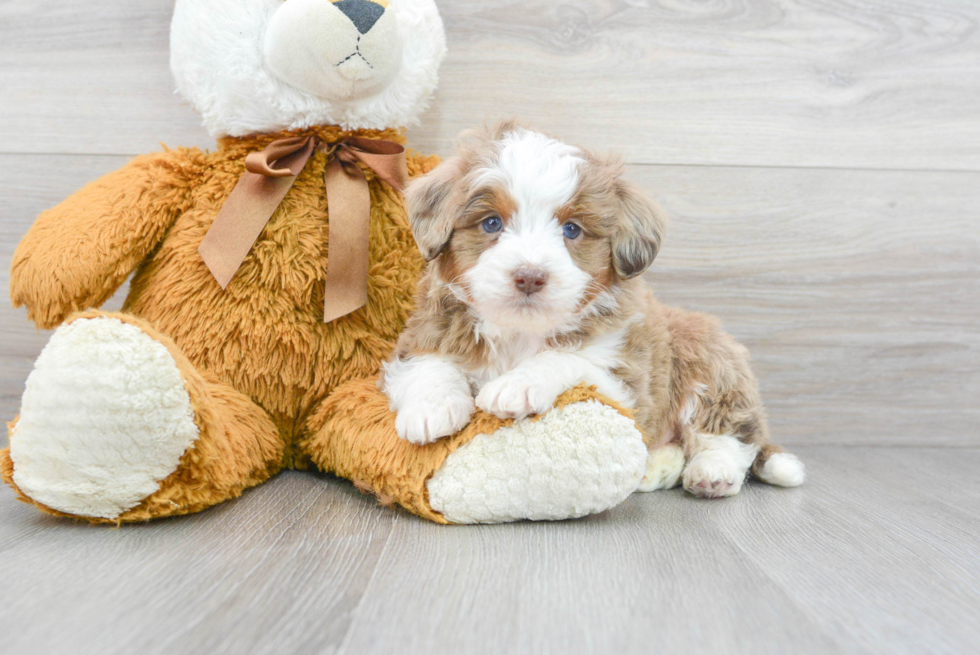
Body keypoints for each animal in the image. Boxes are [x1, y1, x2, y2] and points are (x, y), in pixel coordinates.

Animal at [380, 121, 804, 498]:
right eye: (491, 223)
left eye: (572, 230)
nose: (529, 276)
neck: (520, 331)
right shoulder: (421, 336)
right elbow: (428, 363)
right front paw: (432, 407)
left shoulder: (629, 383)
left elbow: (567, 359)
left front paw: (518, 385)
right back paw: (654, 468)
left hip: (709, 361)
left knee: (729, 434)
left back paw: (713, 473)